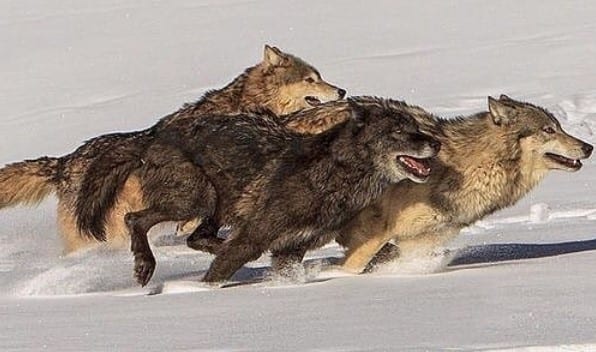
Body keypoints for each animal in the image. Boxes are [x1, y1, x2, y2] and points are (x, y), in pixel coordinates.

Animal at [77, 97, 440, 286]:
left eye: (416, 128)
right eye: (399, 132)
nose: (436, 143)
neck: (337, 171)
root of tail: (152, 134)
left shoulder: (290, 250)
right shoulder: (255, 236)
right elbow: (218, 273)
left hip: (216, 204)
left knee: (197, 237)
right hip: (197, 198)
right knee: (133, 218)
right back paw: (144, 266)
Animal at [332, 94, 592, 272]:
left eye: (559, 127)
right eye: (548, 130)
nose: (589, 147)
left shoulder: (414, 244)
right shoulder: (373, 235)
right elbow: (351, 269)